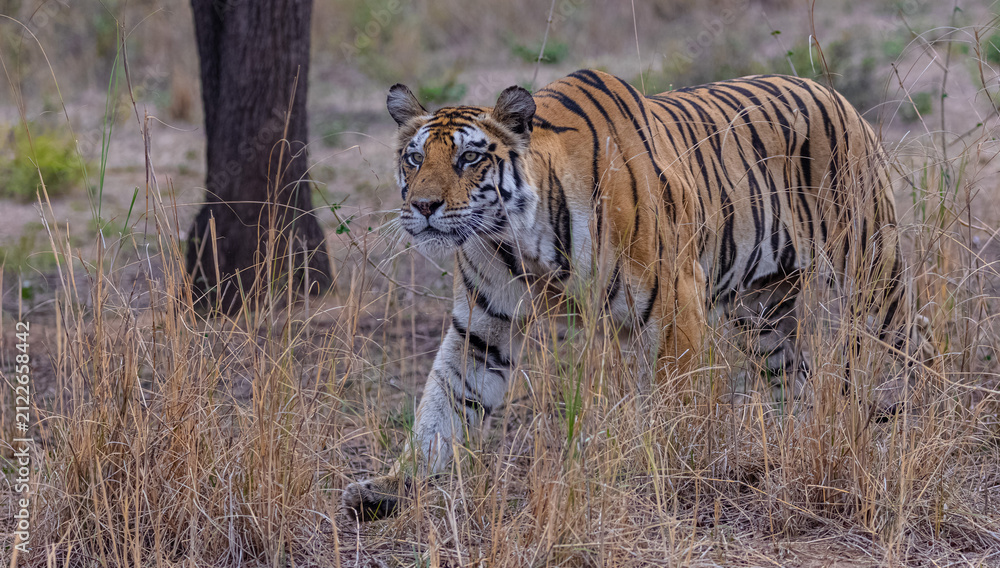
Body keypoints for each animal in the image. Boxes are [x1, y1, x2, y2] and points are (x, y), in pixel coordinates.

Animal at [342, 69, 935, 520]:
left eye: (469, 159)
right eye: (414, 158)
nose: (422, 207)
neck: (517, 242)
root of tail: (831, 91)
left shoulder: (676, 303)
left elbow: (678, 404)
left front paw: (674, 473)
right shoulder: (483, 325)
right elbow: (443, 404)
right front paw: (393, 485)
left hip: (869, 267)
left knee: (916, 340)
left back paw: (924, 420)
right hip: (761, 311)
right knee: (794, 376)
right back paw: (797, 442)